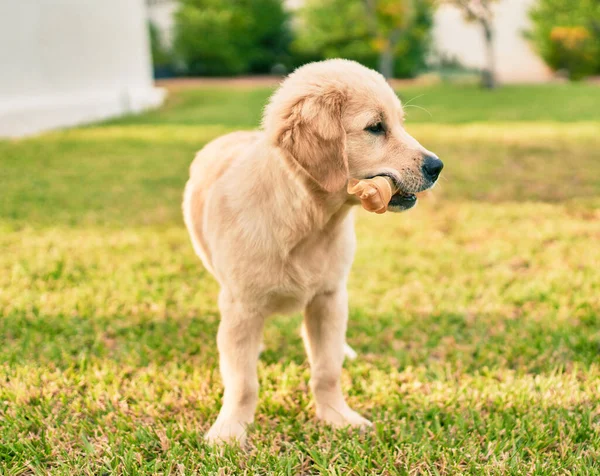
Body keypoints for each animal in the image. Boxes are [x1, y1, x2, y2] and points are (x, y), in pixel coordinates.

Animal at [182, 58, 440, 442]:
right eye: (375, 127)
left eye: (399, 123)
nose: (437, 167)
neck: (309, 222)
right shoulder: (242, 305)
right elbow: (242, 381)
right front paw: (230, 430)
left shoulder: (328, 298)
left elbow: (327, 369)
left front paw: (338, 416)